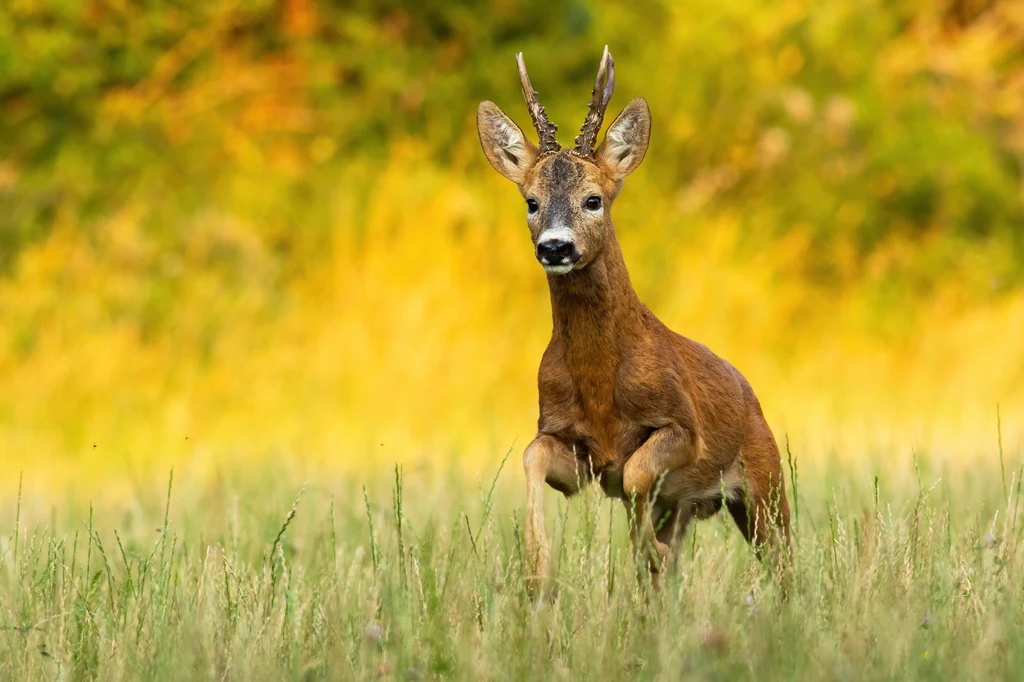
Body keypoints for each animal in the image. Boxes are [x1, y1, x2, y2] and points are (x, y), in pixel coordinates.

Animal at [477, 47, 790, 589]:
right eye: (531, 202)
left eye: (594, 199)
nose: (555, 247)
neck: (601, 384)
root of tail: (750, 392)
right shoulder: (573, 447)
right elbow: (533, 456)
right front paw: (540, 575)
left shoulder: (682, 427)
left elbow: (636, 471)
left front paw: (649, 553)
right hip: (689, 505)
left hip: (766, 481)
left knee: (787, 562)